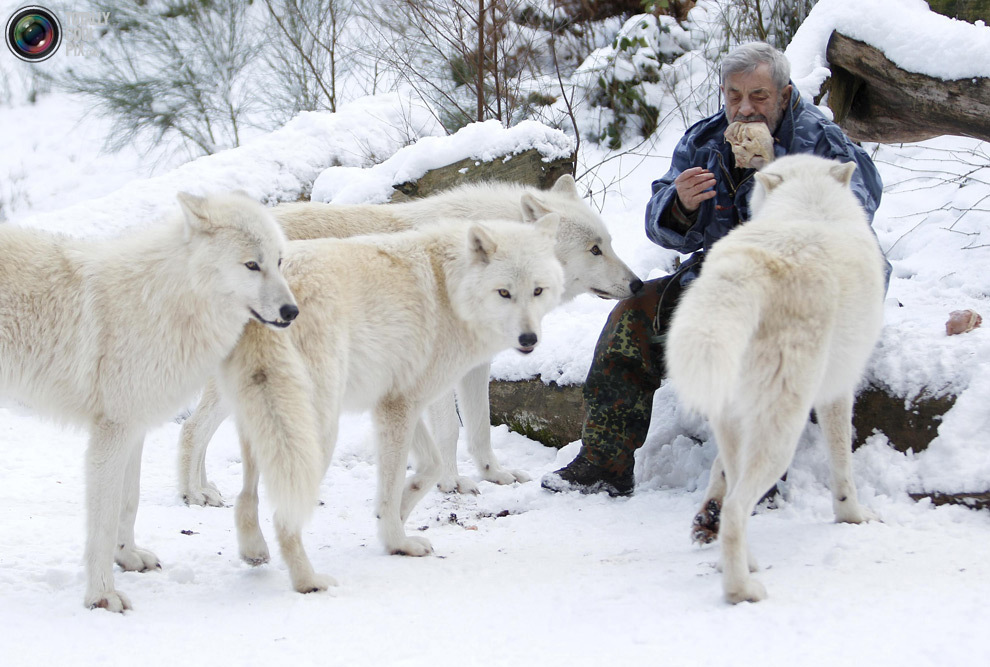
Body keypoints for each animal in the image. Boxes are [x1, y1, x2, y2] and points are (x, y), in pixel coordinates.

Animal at [0, 193, 298, 612]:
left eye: (279, 261)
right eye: (251, 265)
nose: (292, 312)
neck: (167, 302)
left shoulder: (134, 429)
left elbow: (129, 503)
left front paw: (128, 557)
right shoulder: (111, 432)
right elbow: (103, 520)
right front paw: (102, 596)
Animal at [178, 175, 644, 504]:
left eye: (609, 243)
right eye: (594, 249)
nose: (639, 284)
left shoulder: (474, 366)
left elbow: (480, 429)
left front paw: (494, 475)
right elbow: (450, 431)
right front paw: (453, 483)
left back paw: (206, 489)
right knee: (191, 430)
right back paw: (193, 494)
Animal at [221, 217, 564, 592]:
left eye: (538, 291)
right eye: (504, 293)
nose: (529, 339)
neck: (450, 290)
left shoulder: (398, 401)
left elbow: (430, 467)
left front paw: (398, 511)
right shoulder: (399, 407)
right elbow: (395, 482)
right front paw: (397, 541)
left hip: (262, 422)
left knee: (245, 496)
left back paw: (253, 551)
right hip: (315, 432)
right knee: (284, 516)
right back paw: (308, 581)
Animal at [668, 155, 892, 604]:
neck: (810, 204)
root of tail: (751, 266)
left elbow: (718, 472)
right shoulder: (837, 393)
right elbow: (843, 466)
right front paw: (853, 516)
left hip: (737, 419)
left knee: (732, 491)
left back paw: (738, 558)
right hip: (782, 431)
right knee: (738, 508)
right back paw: (742, 589)